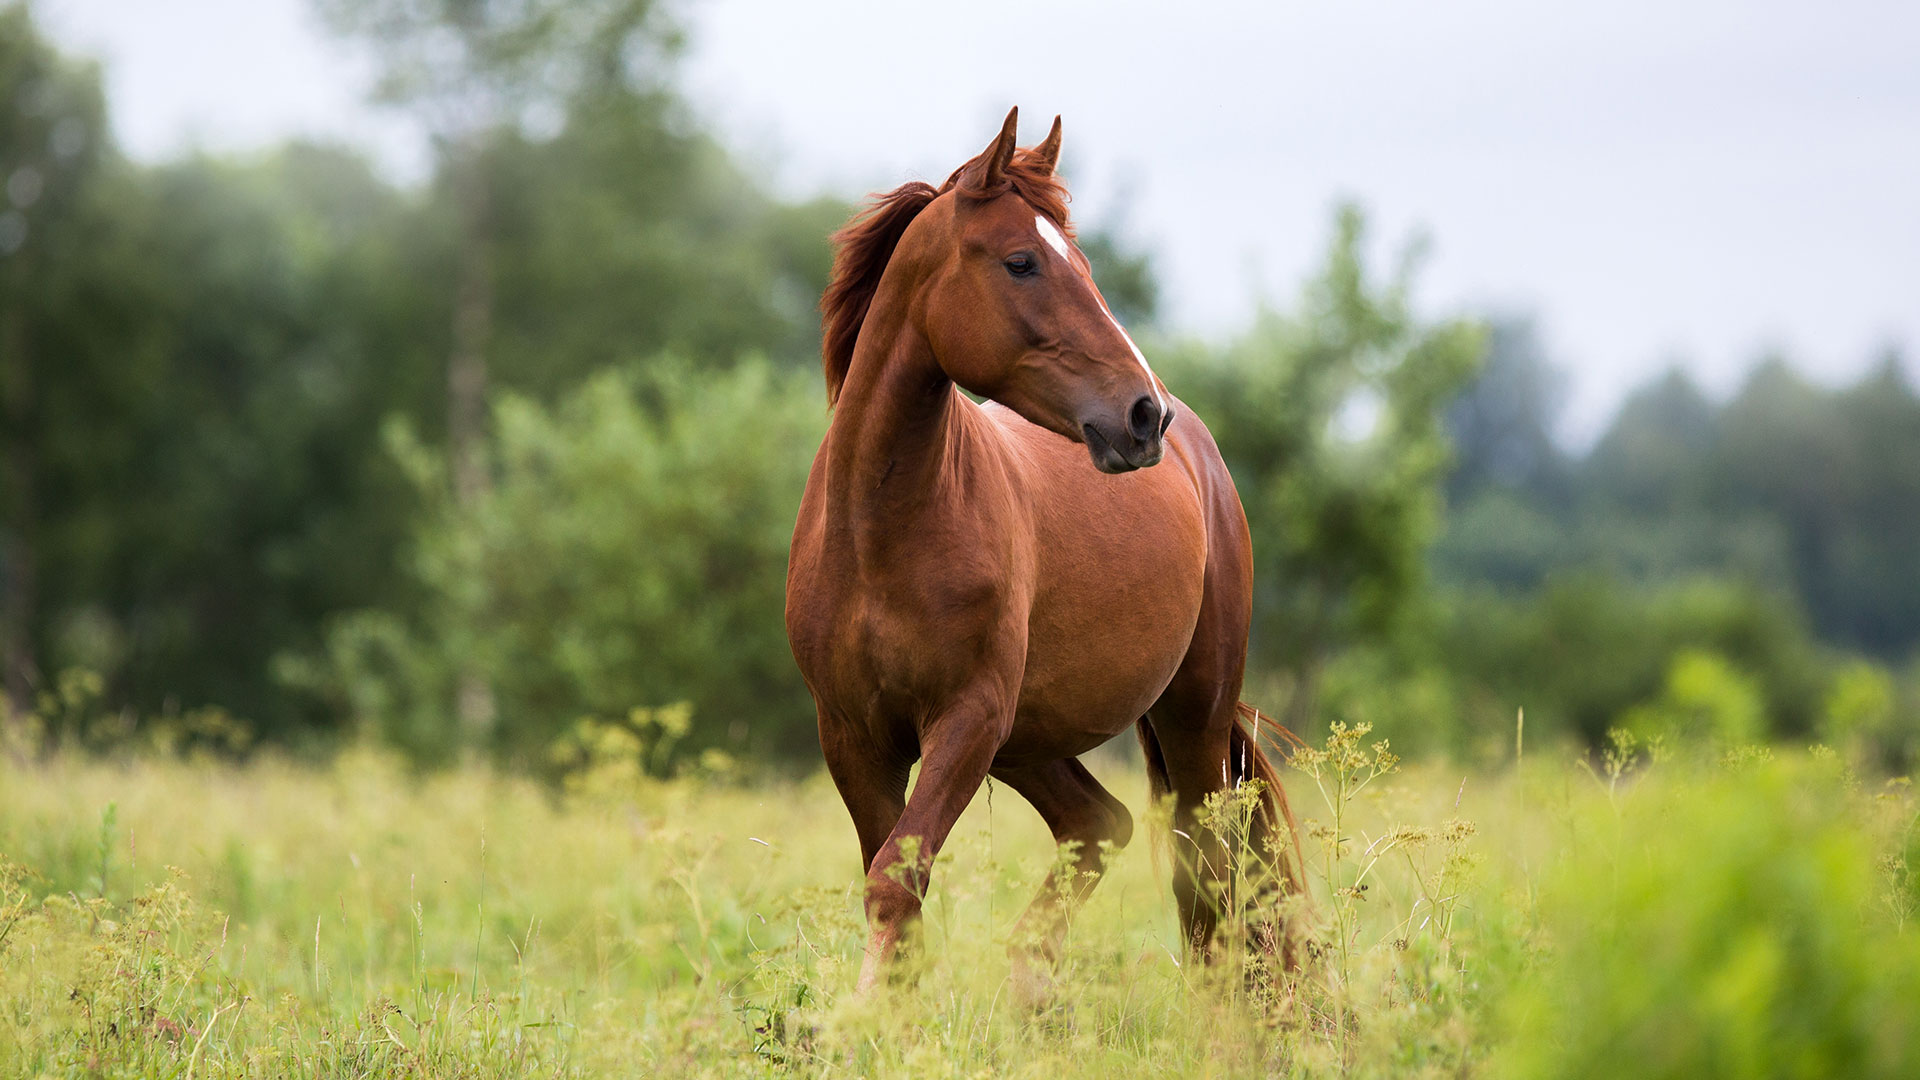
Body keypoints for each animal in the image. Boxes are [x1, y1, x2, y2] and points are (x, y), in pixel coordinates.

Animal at [779, 109, 1305, 991]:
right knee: (1102, 824)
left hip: (1186, 715)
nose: (1142, 415)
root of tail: (1201, 457)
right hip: (1030, 740)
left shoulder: (966, 721)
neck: (882, 534)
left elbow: (896, 883)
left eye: (1080, 262)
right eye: (1022, 262)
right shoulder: (855, 737)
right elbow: (895, 892)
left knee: (1207, 873)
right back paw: (1031, 981)